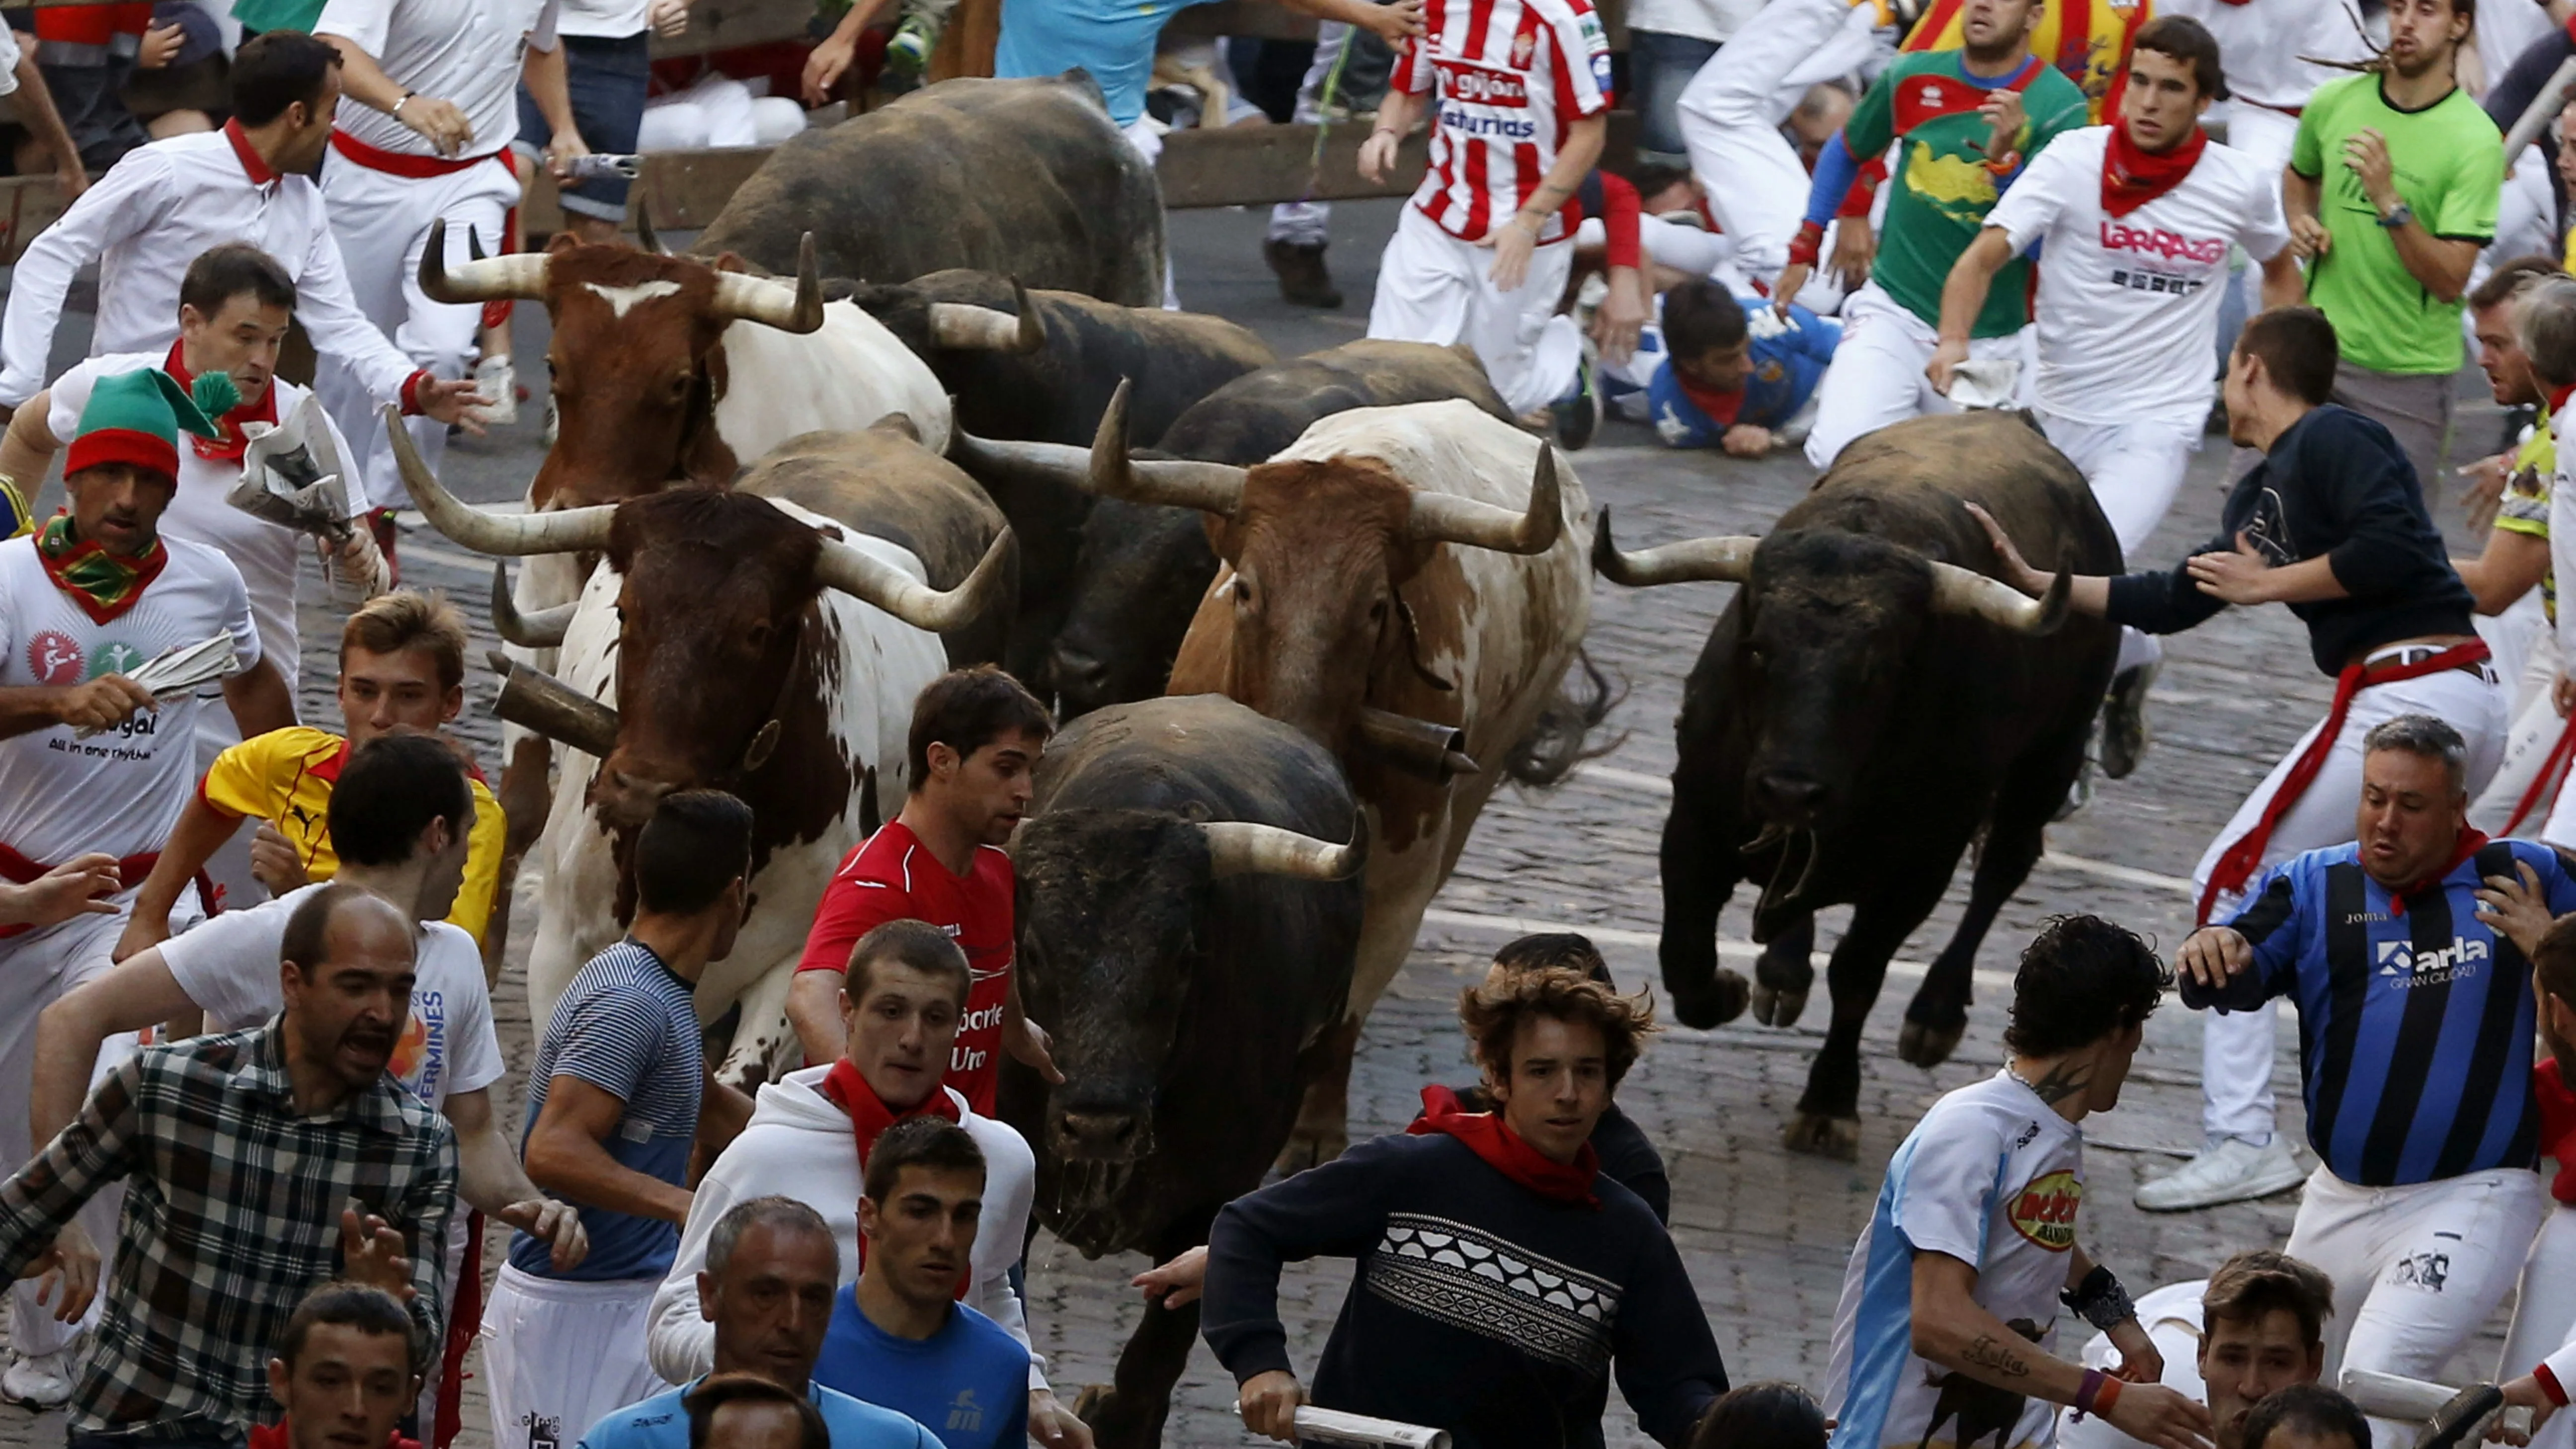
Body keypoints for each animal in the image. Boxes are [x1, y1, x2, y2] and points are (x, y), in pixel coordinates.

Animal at [994, 691, 1370, 1444]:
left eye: (1183, 957)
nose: (1098, 1124)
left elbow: (1150, 1368)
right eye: (1035, 951)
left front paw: (1105, 1412)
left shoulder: (1214, 1207)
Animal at [1597, 412, 2122, 1155]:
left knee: (2002, 868)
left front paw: (1829, 1101)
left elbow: (1858, 975)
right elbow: (1687, 959)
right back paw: (1782, 973)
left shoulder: (1917, 872)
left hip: (2053, 753)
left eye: (1881, 666)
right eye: (1759, 648)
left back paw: (1935, 1014)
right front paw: (1731, 988)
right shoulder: (1693, 823)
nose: (1791, 790)